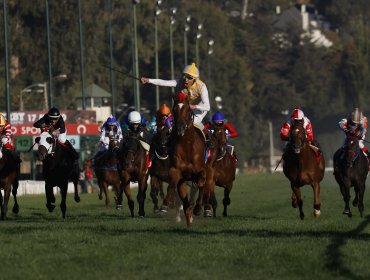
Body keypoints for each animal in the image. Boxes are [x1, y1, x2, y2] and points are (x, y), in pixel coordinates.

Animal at [165, 94, 217, 225]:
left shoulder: (201, 170)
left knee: (205, 185)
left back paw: (202, 208)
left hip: (210, 168)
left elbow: (201, 183)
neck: (187, 146)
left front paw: (198, 209)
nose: (180, 128)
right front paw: (166, 203)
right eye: (174, 110)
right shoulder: (176, 170)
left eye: (188, 110)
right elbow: (173, 184)